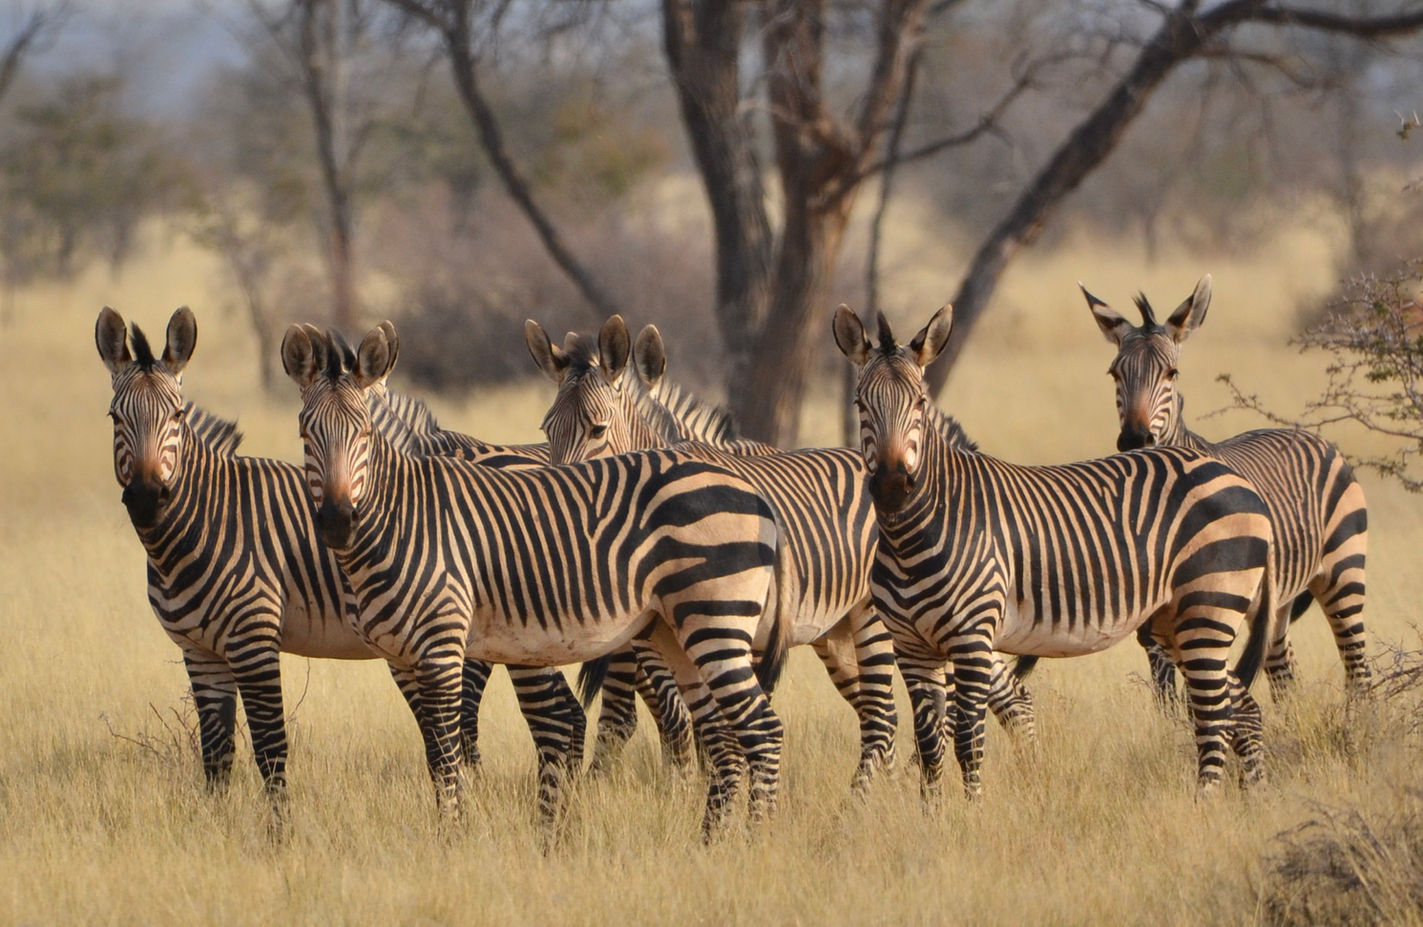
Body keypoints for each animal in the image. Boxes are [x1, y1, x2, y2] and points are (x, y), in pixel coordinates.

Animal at [94, 306, 586, 831]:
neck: (208, 518)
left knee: (555, 722)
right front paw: (216, 831)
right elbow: (216, 756)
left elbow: (269, 746)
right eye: (114, 417)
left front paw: (279, 837)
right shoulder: (200, 652)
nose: (147, 499)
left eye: (176, 416)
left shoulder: (253, 638)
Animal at [280, 321, 789, 835]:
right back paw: (710, 839)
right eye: (304, 432)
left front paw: (456, 837)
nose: (336, 522)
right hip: (673, 631)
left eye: (364, 433)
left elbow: (448, 753)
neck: (402, 516)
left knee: (756, 730)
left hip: (711, 622)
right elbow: (434, 755)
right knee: (720, 734)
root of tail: (750, 489)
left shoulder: (443, 648)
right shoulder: (401, 657)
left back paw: (754, 838)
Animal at [526, 315, 1041, 791]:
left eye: (597, 430)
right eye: (546, 430)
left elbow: (686, 725)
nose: (560, 499)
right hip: (842, 633)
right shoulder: (656, 641)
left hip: (883, 618)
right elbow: (662, 722)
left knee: (922, 709)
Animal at [833, 303, 1277, 797]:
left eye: (919, 404)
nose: (893, 487)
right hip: (1176, 620)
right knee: (1244, 711)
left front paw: (971, 812)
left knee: (1216, 717)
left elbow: (967, 740)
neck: (909, 539)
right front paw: (932, 814)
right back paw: (1254, 798)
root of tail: (1237, 480)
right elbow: (930, 747)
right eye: (860, 404)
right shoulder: (911, 648)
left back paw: (1204, 803)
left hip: (1208, 608)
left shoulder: (972, 639)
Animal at [1081, 274, 1371, 698]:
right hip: (1277, 601)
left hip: (1343, 571)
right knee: (1284, 672)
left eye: (1171, 373)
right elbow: (1168, 700)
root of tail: (1310, 436)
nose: (1135, 438)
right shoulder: (1150, 630)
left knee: (1358, 669)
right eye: (1115, 374)